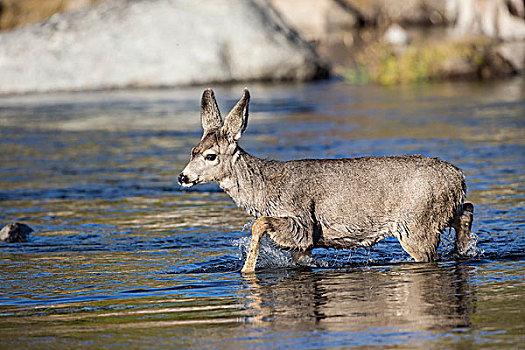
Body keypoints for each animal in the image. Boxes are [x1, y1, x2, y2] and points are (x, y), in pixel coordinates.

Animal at [178, 88, 472, 274]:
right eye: (192, 150)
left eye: (210, 155)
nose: (183, 177)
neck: (266, 189)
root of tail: (458, 177)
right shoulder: (304, 244)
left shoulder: (301, 220)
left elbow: (259, 224)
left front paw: (246, 269)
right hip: (440, 214)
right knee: (467, 209)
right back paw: (464, 249)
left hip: (417, 225)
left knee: (431, 253)